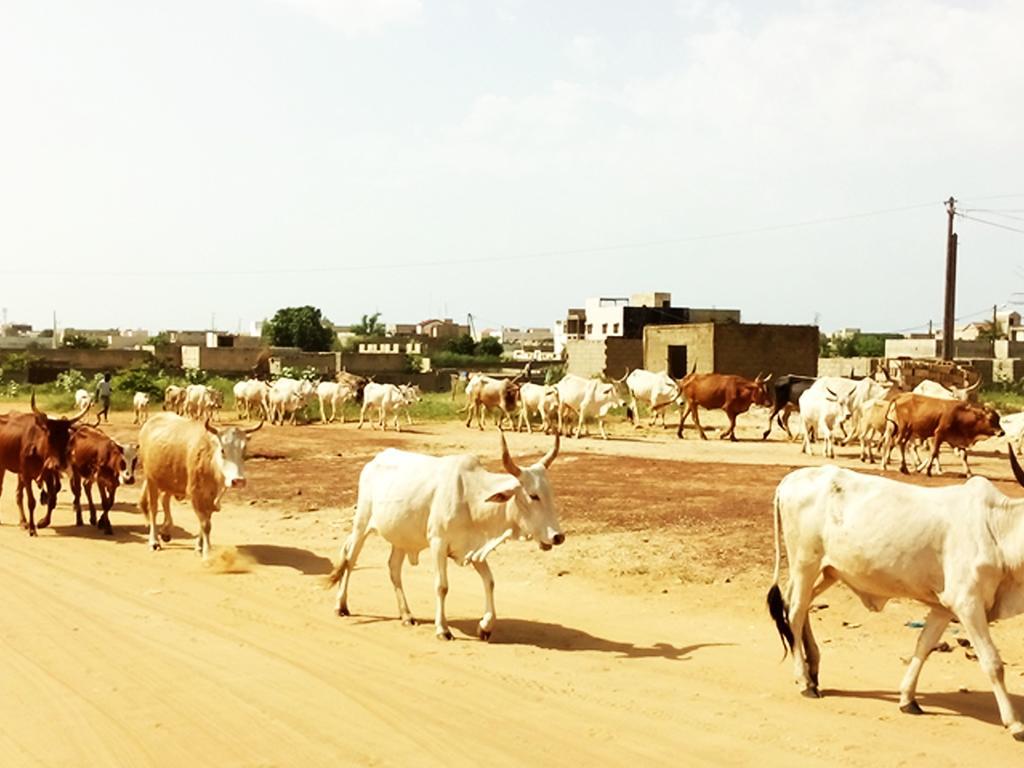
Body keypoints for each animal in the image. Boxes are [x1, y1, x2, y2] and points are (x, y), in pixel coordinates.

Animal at [327, 434, 565, 643]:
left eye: (551, 494)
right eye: (533, 496)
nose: (558, 536)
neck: (471, 497)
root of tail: (375, 461)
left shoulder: (474, 550)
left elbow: (490, 582)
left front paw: (485, 626)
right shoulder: (438, 543)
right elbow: (442, 586)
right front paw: (443, 629)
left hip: (400, 536)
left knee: (393, 568)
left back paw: (406, 615)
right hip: (361, 524)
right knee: (350, 560)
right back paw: (341, 606)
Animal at [765, 460, 1024, 741]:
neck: (996, 530)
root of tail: (790, 479)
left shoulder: (943, 608)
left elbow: (923, 647)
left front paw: (907, 699)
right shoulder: (968, 604)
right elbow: (993, 663)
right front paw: (1014, 723)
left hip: (828, 571)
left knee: (801, 606)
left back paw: (813, 671)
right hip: (805, 563)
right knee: (795, 612)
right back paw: (804, 681)